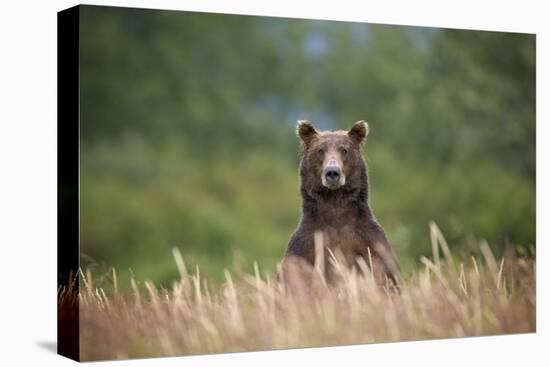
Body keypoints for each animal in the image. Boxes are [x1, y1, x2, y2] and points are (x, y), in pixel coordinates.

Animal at [282, 119, 404, 288]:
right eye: (320, 151)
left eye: (344, 150)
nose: (332, 172)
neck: (335, 204)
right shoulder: (305, 248)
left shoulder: (370, 243)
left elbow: (386, 275)